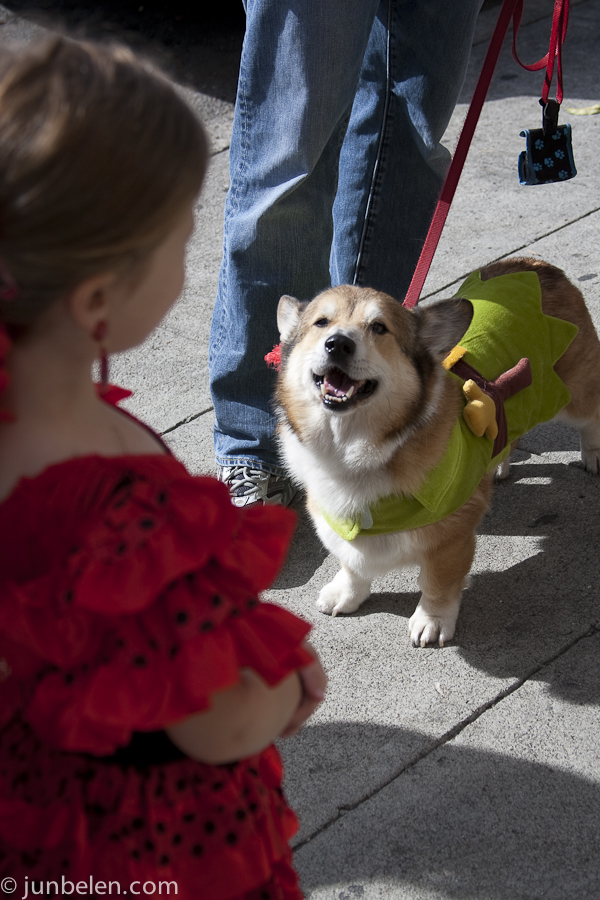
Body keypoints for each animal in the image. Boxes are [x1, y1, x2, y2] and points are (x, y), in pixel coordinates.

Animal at [274, 260, 600, 648]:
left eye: (379, 328)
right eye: (321, 323)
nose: (337, 343)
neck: (355, 449)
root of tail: (535, 264)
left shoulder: (450, 540)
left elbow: (437, 584)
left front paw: (431, 621)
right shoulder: (335, 519)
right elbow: (351, 564)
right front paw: (346, 594)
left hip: (576, 394)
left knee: (591, 417)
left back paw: (593, 456)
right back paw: (499, 463)